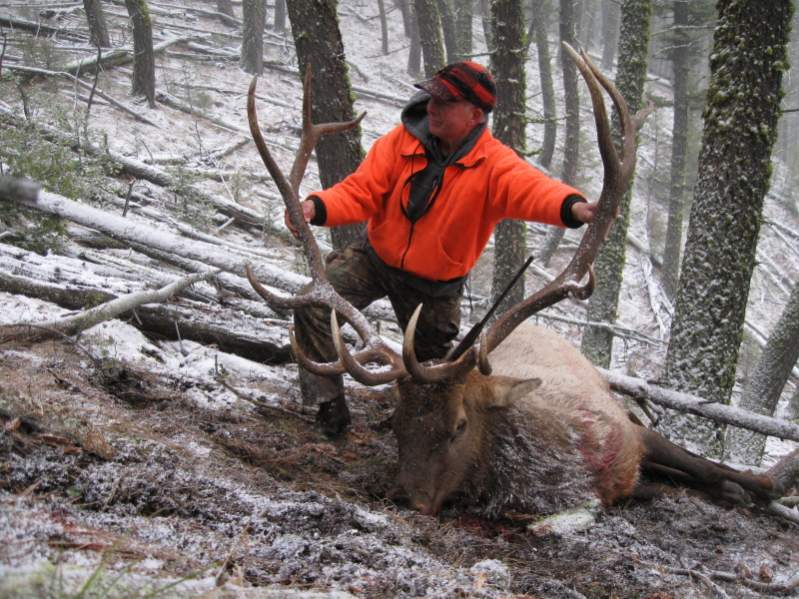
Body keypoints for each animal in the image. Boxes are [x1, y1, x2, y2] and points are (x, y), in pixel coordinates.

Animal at [247, 50, 796, 520]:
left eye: (460, 425)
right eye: (398, 423)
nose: (405, 498)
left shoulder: (629, 431)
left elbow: (710, 466)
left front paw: (761, 485)